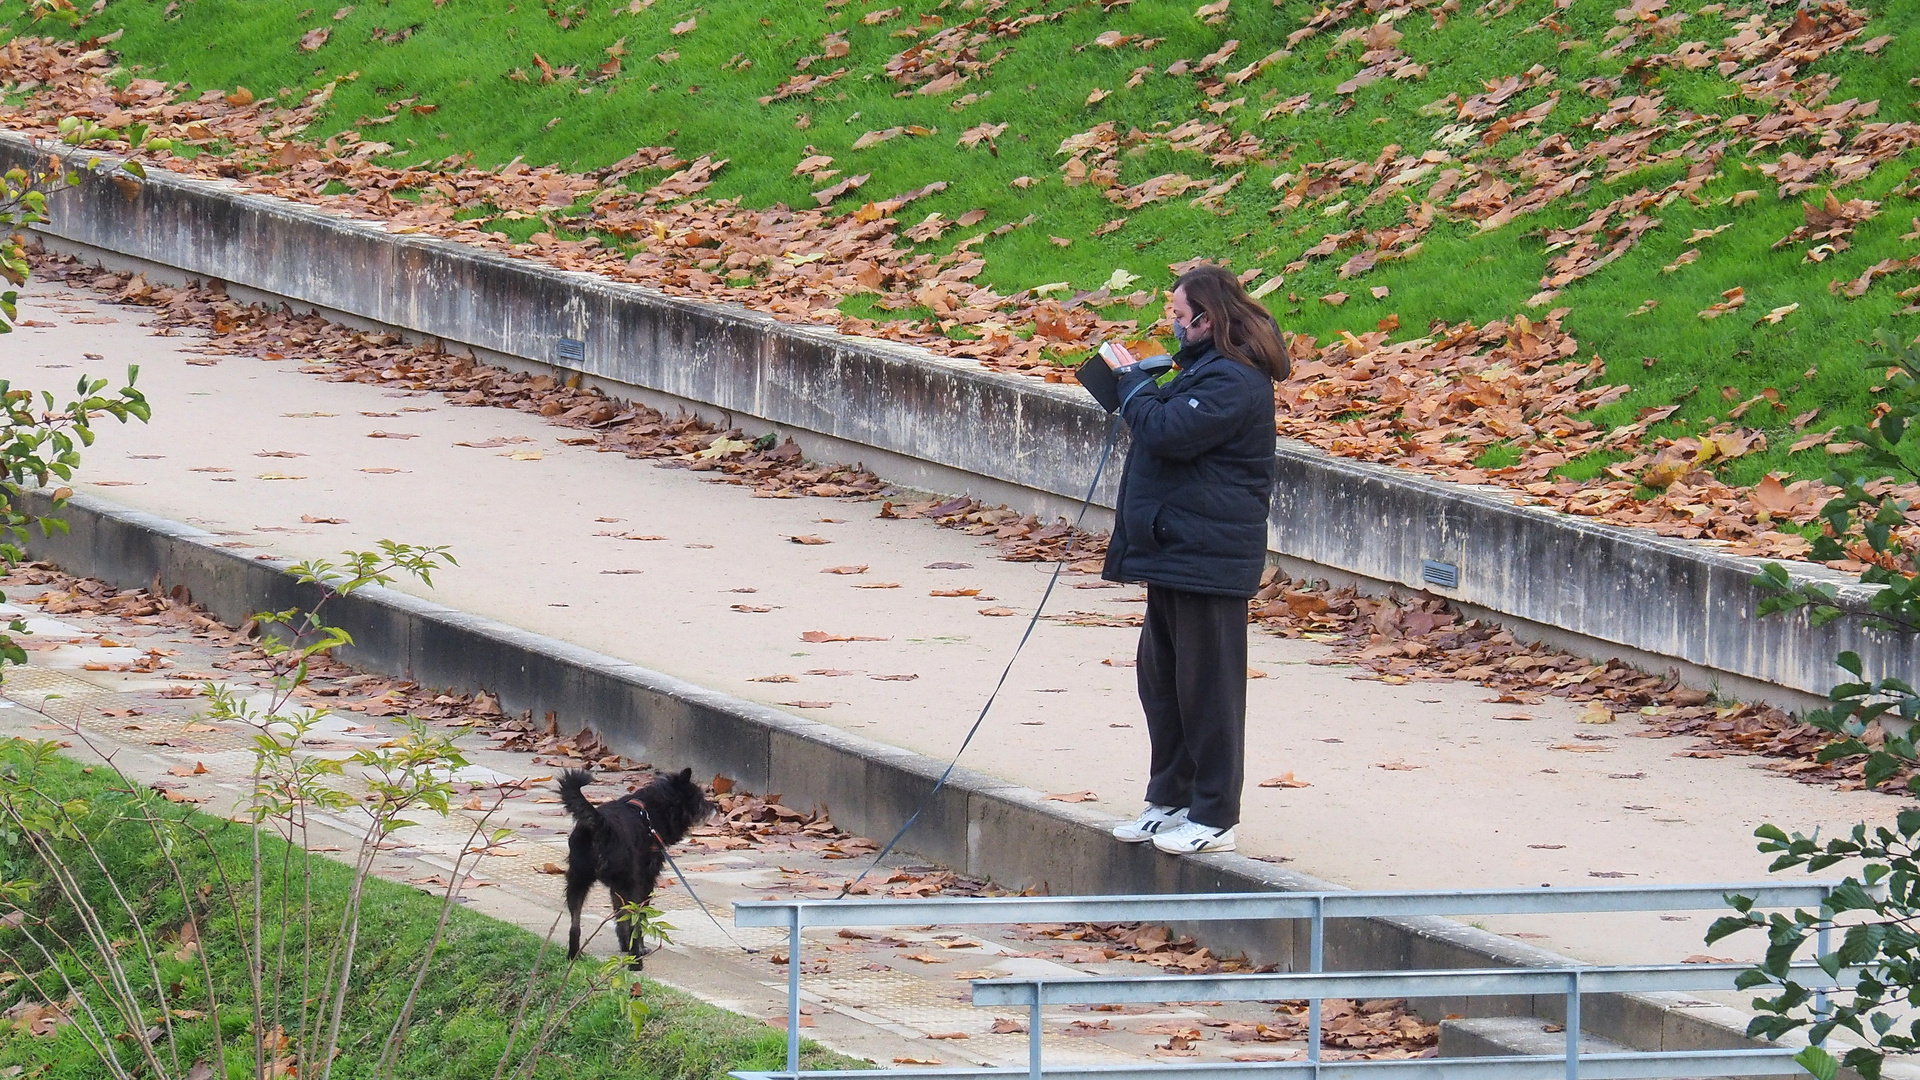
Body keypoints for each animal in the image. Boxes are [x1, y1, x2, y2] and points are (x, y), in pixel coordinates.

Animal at [556, 764, 714, 957]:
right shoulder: (645, 880)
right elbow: (636, 918)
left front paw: (625, 945)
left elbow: (620, 918)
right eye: (700, 799)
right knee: (635, 918)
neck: (651, 811)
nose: (715, 807)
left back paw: (574, 955)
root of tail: (602, 825)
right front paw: (635, 947)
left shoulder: (616, 889)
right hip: (629, 884)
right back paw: (636, 953)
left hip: (578, 880)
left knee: (575, 924)